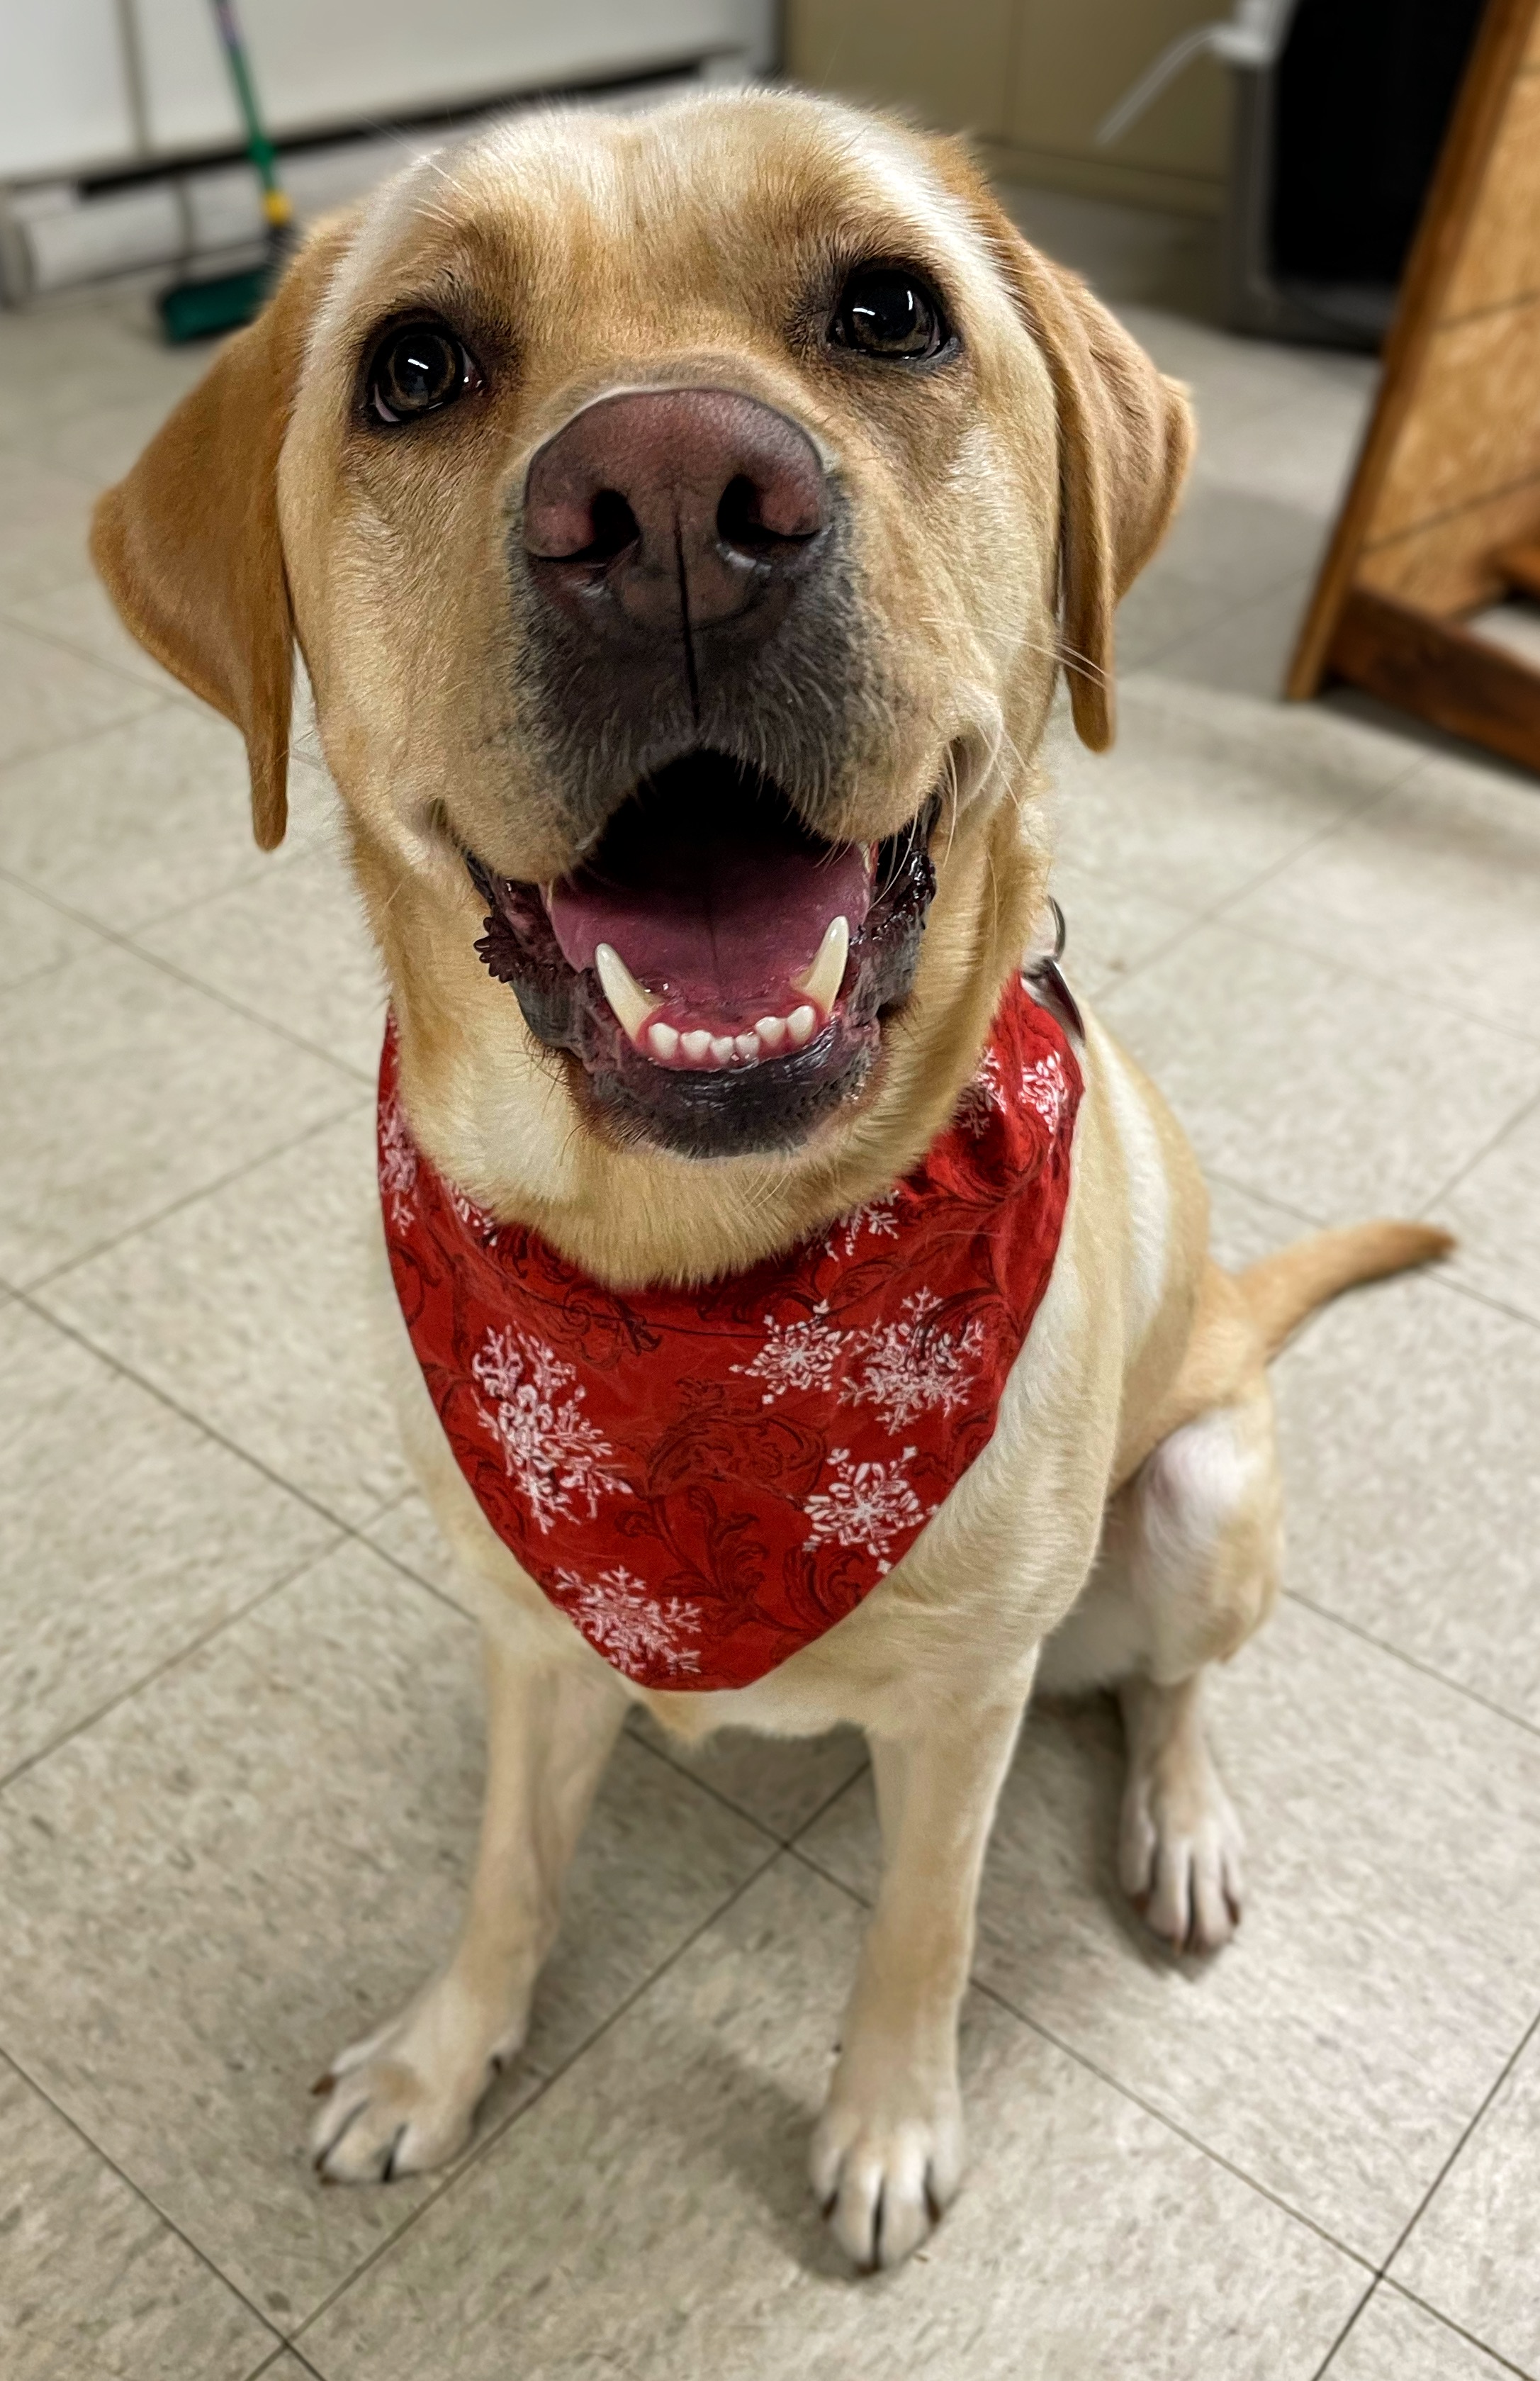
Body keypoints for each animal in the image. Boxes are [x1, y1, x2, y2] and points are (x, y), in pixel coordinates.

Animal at [92, 88, 1448, 2272]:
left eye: (888, 310)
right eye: (412, 366)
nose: (663, 505)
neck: (694, 1288)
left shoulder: (964, 1709)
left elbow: (925, 1921)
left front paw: (885, 2121)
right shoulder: (526, 1629)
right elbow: (503, 1871)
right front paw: (440, 2053)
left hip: (1198, 1490)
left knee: (1171, 1690)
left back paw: (1178, 1821)